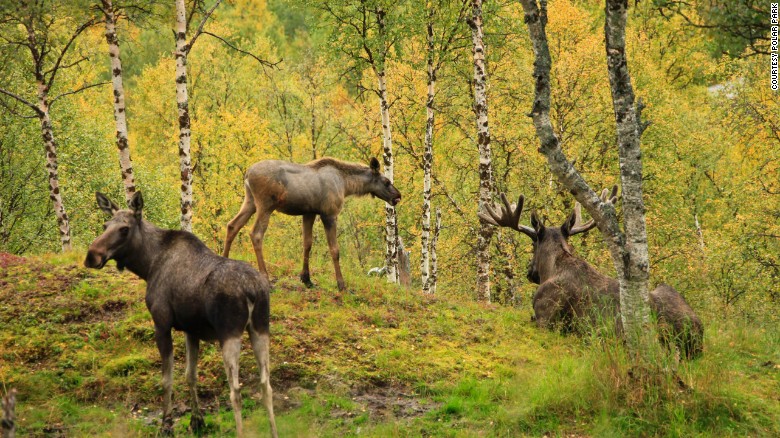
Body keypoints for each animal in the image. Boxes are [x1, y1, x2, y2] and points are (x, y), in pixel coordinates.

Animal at [84, 193, 278, 436]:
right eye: (105, 225)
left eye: (124, 229)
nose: (92, 256)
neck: (147, 265)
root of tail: (252, 290)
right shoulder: (190, 329)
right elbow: (190, 375)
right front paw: (197, 421)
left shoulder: (161, 323)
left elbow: (167, 379)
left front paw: (166, 424)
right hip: (260, 328)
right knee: (266, 385)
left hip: (230, 333)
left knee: (235, 390)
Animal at [221, 157, 400, 290]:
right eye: (386, 181)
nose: (398, 196)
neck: (346, 185)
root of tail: (247, 174)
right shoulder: (329, 214)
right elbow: (334, 250)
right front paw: (341, 284)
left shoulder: (309, 213)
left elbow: (307, 244)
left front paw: (306, 279)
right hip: (265, 205)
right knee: (256, 234)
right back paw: (265, 278)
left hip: (250, 201)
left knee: (232, 225)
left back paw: (223, 263)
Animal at [478, 190, 704, 362]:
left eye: (534, 244)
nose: (530, 272)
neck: (554, 267)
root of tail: (696, 330)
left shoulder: (544, 317)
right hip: (666, 288)